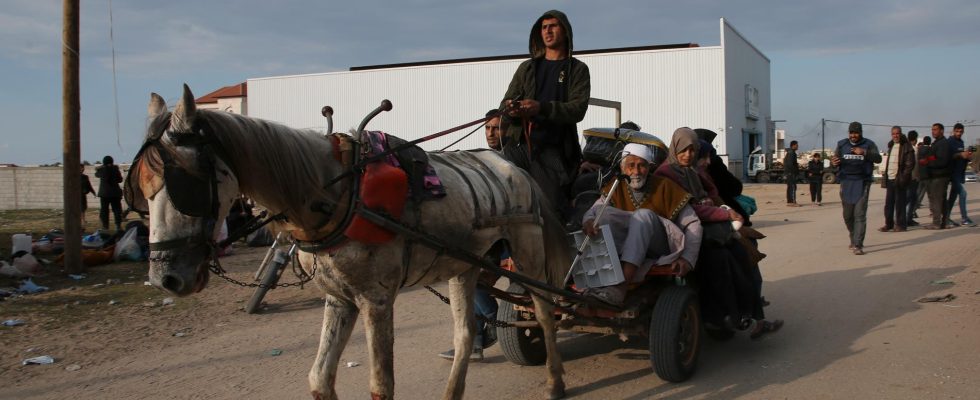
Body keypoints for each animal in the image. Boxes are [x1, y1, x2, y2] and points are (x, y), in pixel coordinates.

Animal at [131, 85, 576, 400]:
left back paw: (555, 382)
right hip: (464, 264)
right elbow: (319, 379)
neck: (337, 193)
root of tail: (511, 165)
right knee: (464, 333)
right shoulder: (338, 298)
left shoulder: (375, 300)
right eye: (140, 190)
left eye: (184, 183)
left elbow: (381, 385)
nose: (165, 278)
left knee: (543, 311)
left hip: (528, 253)